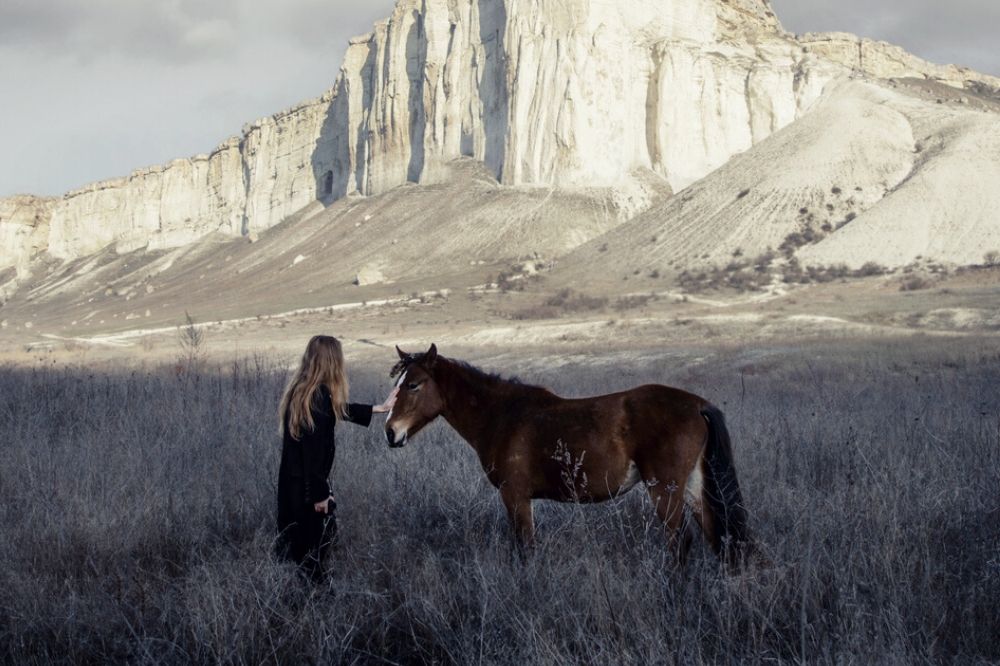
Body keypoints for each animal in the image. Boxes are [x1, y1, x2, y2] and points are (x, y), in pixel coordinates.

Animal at [382, 342, 752, 564]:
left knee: (681, 542)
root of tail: (698, 405)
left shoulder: (515, 496)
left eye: (413, 384)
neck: (502, 415)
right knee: (715, 535)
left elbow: (526, 549)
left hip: (665, 490)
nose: (390, 432)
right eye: (396, 384)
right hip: (693, 487)